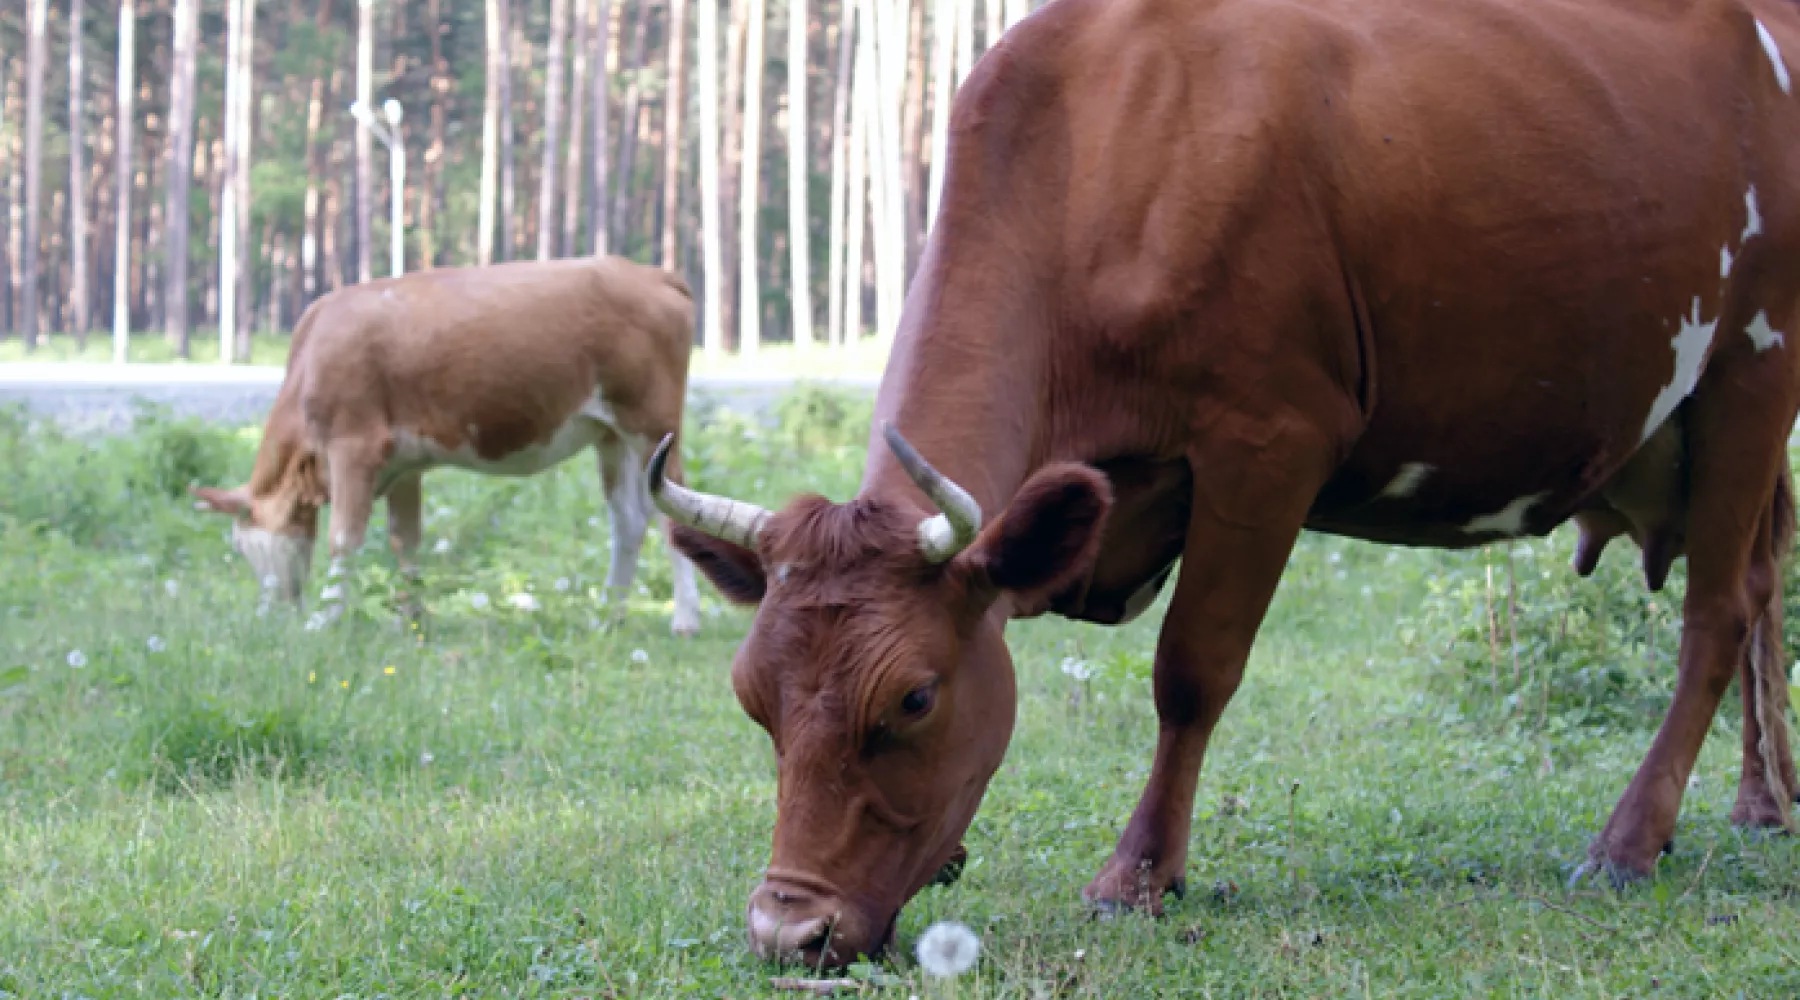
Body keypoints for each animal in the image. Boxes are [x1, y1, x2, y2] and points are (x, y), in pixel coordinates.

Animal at [193, 253, 702, 636]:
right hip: (609, 433)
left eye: (240, 547)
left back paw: (684, 619)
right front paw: (413, 616)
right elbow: (405, 540)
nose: (269, 614)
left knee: (672, 510)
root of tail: (649, 273)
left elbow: (344, 537)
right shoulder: (403, 464)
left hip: (652, 423)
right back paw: (609, 614)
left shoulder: (353, 446)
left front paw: (325, 617)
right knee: (628, 519)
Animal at [648, 0, 1800, 971]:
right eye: (752, 697)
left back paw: (1630, 840)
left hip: (1754, 364)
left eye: (915, 698)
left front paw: (1138, 875)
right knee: (1761, 585)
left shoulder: (1269, 437)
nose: (788, 930)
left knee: (1713, 613)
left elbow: (1192, 670)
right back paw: (1764, 801)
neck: (1099, 151)